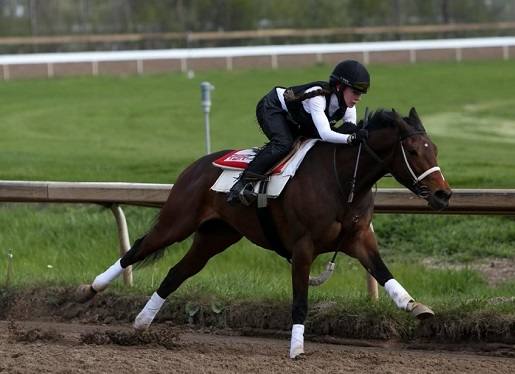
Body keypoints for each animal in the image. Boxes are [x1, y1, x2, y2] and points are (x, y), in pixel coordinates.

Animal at [76, 106, 452, 358]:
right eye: (414, 151)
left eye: (434, 149)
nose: (443, 195)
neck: (343, 180)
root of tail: (196, 165)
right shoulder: (303, 247)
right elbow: (300, 299)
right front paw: (297, 347)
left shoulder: (358, 239)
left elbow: (383, 272)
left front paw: (415, 306)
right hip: (177, 221)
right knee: (137, 249)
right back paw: (89, 290)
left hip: (216, 236)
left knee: (177, 272)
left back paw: (142, 322)